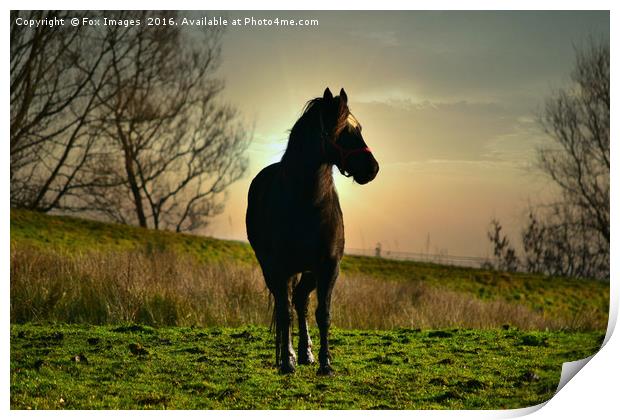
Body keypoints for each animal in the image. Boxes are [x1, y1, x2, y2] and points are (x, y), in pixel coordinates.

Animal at [247, 88, 378, 374]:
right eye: (342, 131)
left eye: (359, 128)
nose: (372, 168)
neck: (307, 202)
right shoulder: (280, 268)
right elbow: (284, 313)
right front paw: (287, 362)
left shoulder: (328, 266)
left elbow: (323, 314)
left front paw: (326, 363)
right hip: (272, 269)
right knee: (287, 304)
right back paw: (292, 355)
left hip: (309, 271)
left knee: (301, 301)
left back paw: (306, 354)